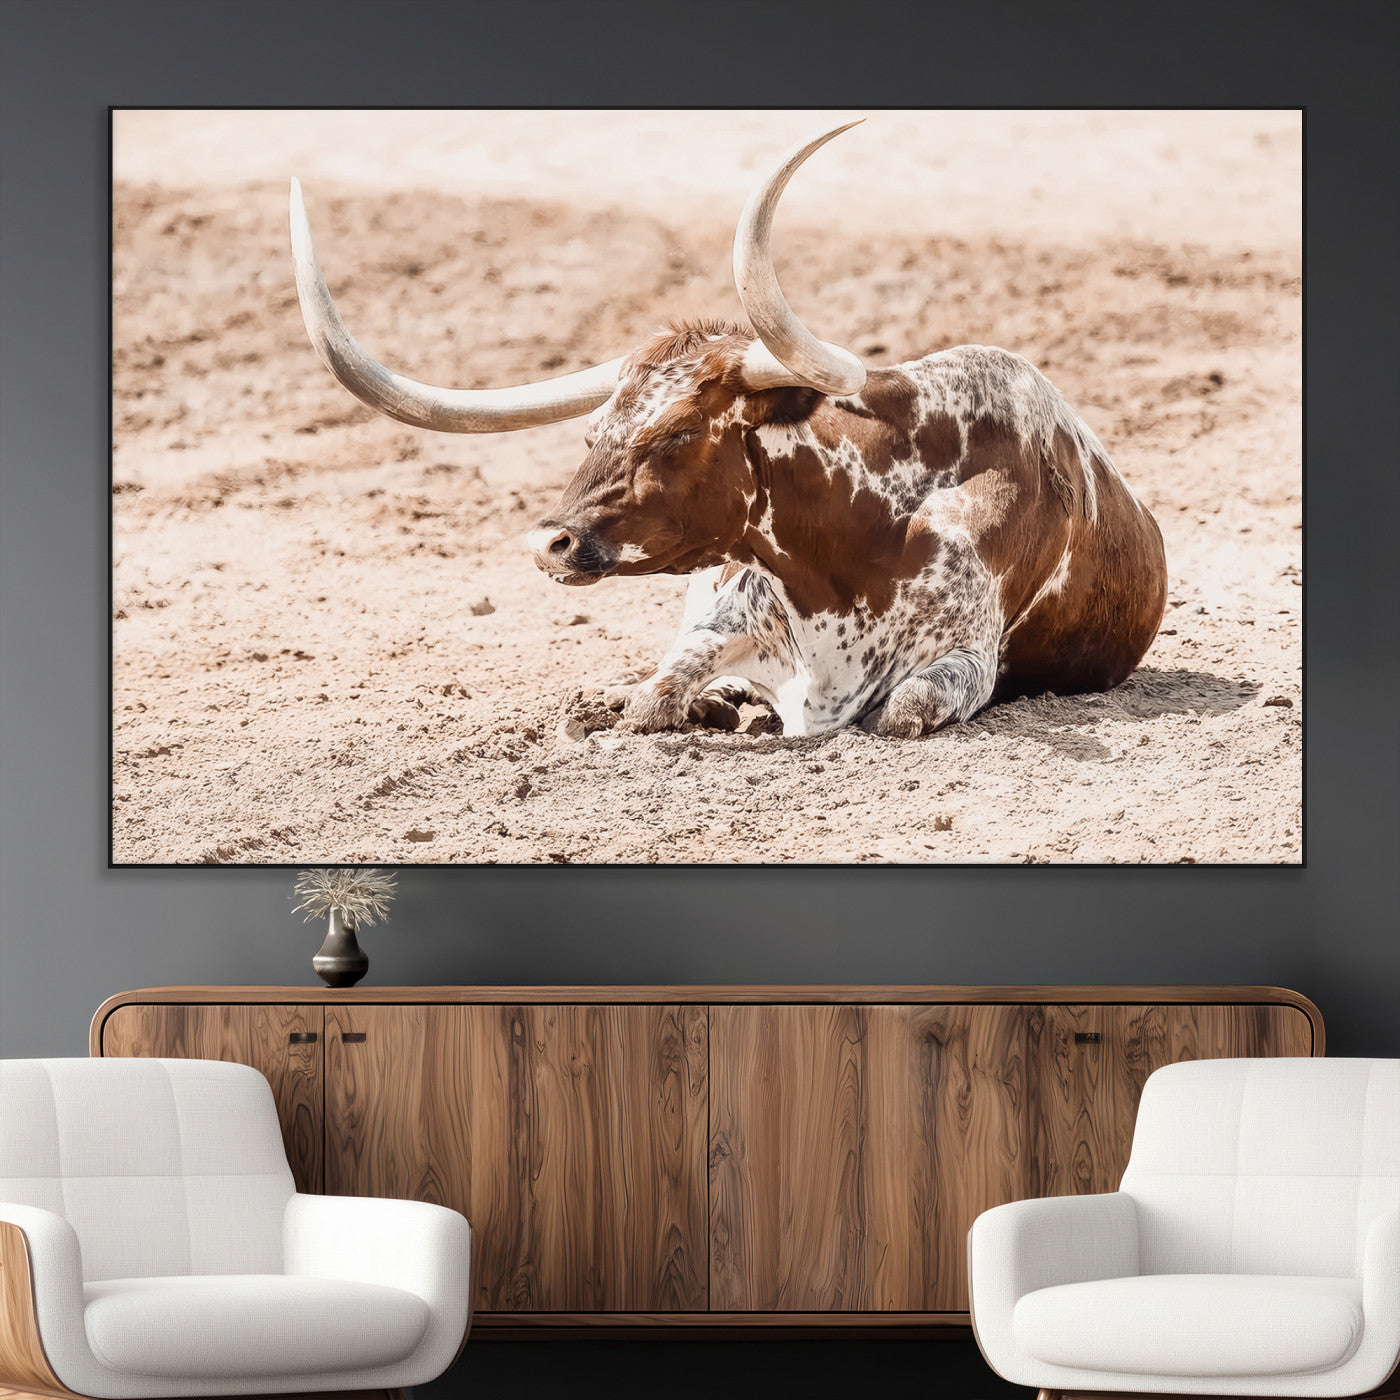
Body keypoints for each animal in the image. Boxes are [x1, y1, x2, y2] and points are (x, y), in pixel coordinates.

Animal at [290, 122, 1167, 739]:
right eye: (592, 432)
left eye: (678, 433)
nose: (549, 543)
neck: (854, 550)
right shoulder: (721, 618)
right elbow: (654, 697)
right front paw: (676, 704)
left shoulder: (965, 662)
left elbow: (903, 708)